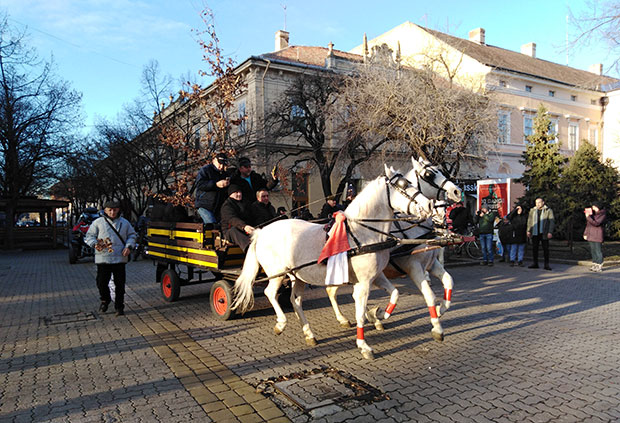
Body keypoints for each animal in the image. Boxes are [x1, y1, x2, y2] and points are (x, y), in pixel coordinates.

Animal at [232, 165, 436, 360]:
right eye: (403, 185)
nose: (429, 205)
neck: (362, 233)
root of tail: (261, 232)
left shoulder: (376, 276)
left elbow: (394, 293)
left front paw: (379, 314)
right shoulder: (363, 283)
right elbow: (360, 314)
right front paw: (364, 345)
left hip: (298, 276)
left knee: (295, 300)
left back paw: (309, 333)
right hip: (277, 274)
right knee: (270, 293)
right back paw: (281, 324)